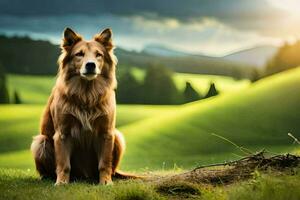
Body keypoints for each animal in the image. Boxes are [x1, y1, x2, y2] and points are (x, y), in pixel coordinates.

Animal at [30, 27, 129, 185]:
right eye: (79, 54)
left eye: (98, 55)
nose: (90, 65)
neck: (86, 95)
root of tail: (84, 176)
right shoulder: (62, 134)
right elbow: (64, 164)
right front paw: (61, 182)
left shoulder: (107, 133)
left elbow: (104, 163)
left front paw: (106, 182)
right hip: (41, 141)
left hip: (117, 136)